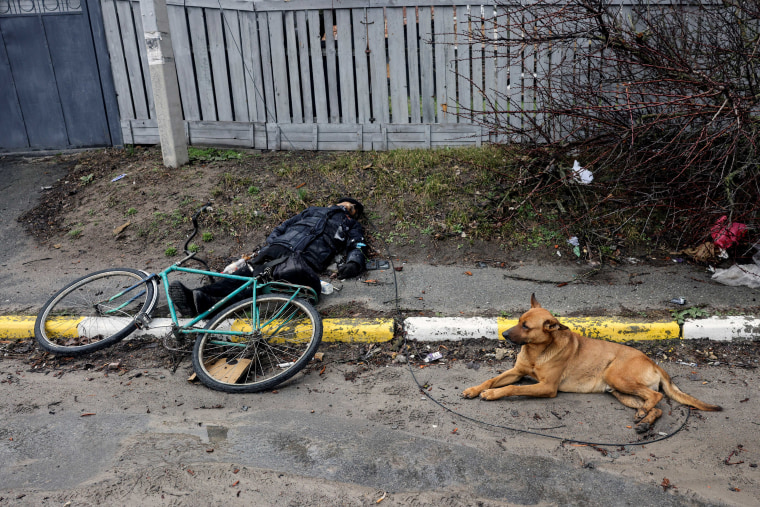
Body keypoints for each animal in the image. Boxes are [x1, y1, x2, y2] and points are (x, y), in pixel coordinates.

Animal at [460, 296, 720, 434]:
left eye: (526, 326)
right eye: (518, 321)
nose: (503, 334)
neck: (538, 351)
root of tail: (653, 362)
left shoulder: (547, 387)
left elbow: (512, 388)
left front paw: (492, 394)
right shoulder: (516, 372)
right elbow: (492, 378)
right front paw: (474, 389)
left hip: (617, 377)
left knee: (655, 398)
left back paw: (645, 415)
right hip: (619, 392)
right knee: (655, 406)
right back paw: (645, 419)